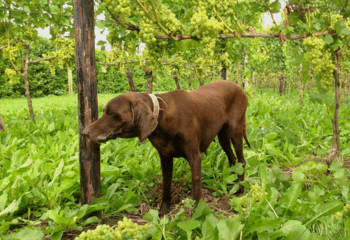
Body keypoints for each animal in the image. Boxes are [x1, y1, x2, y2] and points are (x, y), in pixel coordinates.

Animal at [83, 80, 250, 216]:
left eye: (112, 114)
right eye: (104, 112)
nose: (85, 132)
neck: (163, 116)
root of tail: (238, 87)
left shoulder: (195, 156)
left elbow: (196, 187)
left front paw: (197, 214)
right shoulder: (165, 158)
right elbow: (166, 185)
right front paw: (163, 210)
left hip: (235, 131)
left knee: (241, 160)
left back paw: (240, 190)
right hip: (223, 136)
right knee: (233, 159)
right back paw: (232, 183)